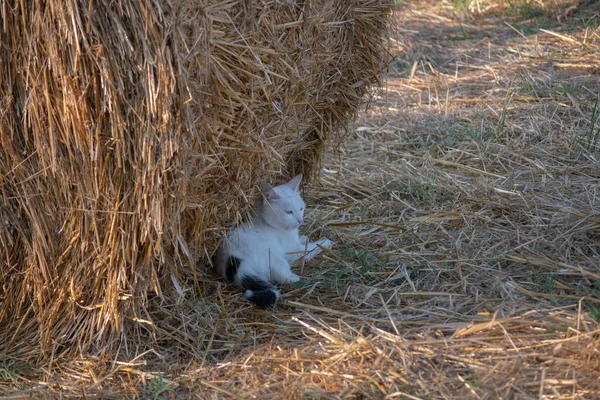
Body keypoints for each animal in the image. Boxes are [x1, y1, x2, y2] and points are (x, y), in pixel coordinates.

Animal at [213, 173, 332, 308]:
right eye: (289, 212)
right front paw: (324, 242)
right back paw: (294, 277)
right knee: (282, 277)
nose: (300, 221)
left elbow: (302, 240)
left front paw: (304, 237)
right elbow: (310, 248)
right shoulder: (292, 250)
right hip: (275, 257)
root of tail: (237, 265)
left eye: (301, 208)